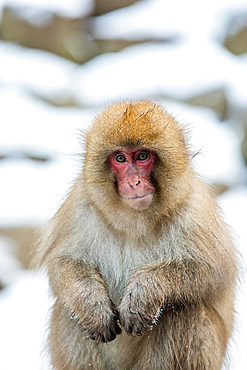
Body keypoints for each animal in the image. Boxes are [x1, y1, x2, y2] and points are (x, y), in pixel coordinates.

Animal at [34, 100, 237, 370]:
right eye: (120, 158)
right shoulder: (80, 205)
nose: (133, 183)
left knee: (185, 311)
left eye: (142, 156)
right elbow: (62, 262)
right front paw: (92, 304)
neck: (135, 221)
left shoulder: (194, 211)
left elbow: (212, 271)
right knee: (69, 311)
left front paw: (144, 290)